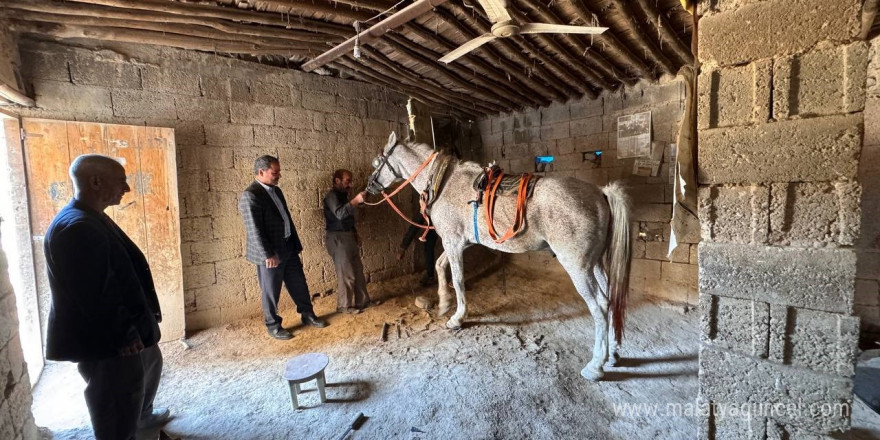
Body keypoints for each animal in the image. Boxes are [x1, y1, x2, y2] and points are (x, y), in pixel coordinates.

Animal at [364, 132, 632, 380]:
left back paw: (596, 365)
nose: (367, 190)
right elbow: (440, 267)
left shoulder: (453, 242)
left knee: (599, 306)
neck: (445, 185)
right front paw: (444, 303)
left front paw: (457, 317)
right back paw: (612, 354)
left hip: (578, 267)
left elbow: (458, 280)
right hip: (594, 264)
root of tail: (600, 193)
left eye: (377, 162)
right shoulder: (459, 243)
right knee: (609, 300)